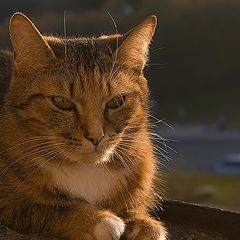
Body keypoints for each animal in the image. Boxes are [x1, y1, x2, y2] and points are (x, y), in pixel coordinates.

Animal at [0, 12, 167, 240]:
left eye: (116, 101)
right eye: (62, 102)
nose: (96, 136)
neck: (86, 169)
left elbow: (134, 209)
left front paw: (142, 223)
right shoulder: (10, 205)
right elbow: (49, 209)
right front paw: (96, 219)